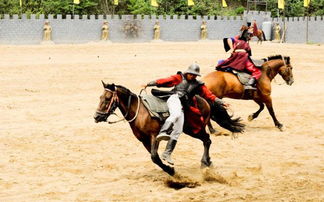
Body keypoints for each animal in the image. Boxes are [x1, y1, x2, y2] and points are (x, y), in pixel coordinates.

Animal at [93, 81, 243, 175]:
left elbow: (154, 156)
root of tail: (204, 99)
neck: (139, 111)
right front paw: (169, 170)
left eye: (107, 98)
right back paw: (208, 162)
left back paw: (204, 162)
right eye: (100, 97)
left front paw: (170, 170)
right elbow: (155, 158)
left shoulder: (154, 136)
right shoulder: (144, 140)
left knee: (207, 140)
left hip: (195, 129)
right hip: (190, 130)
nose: (96, 116)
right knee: (206, 140)